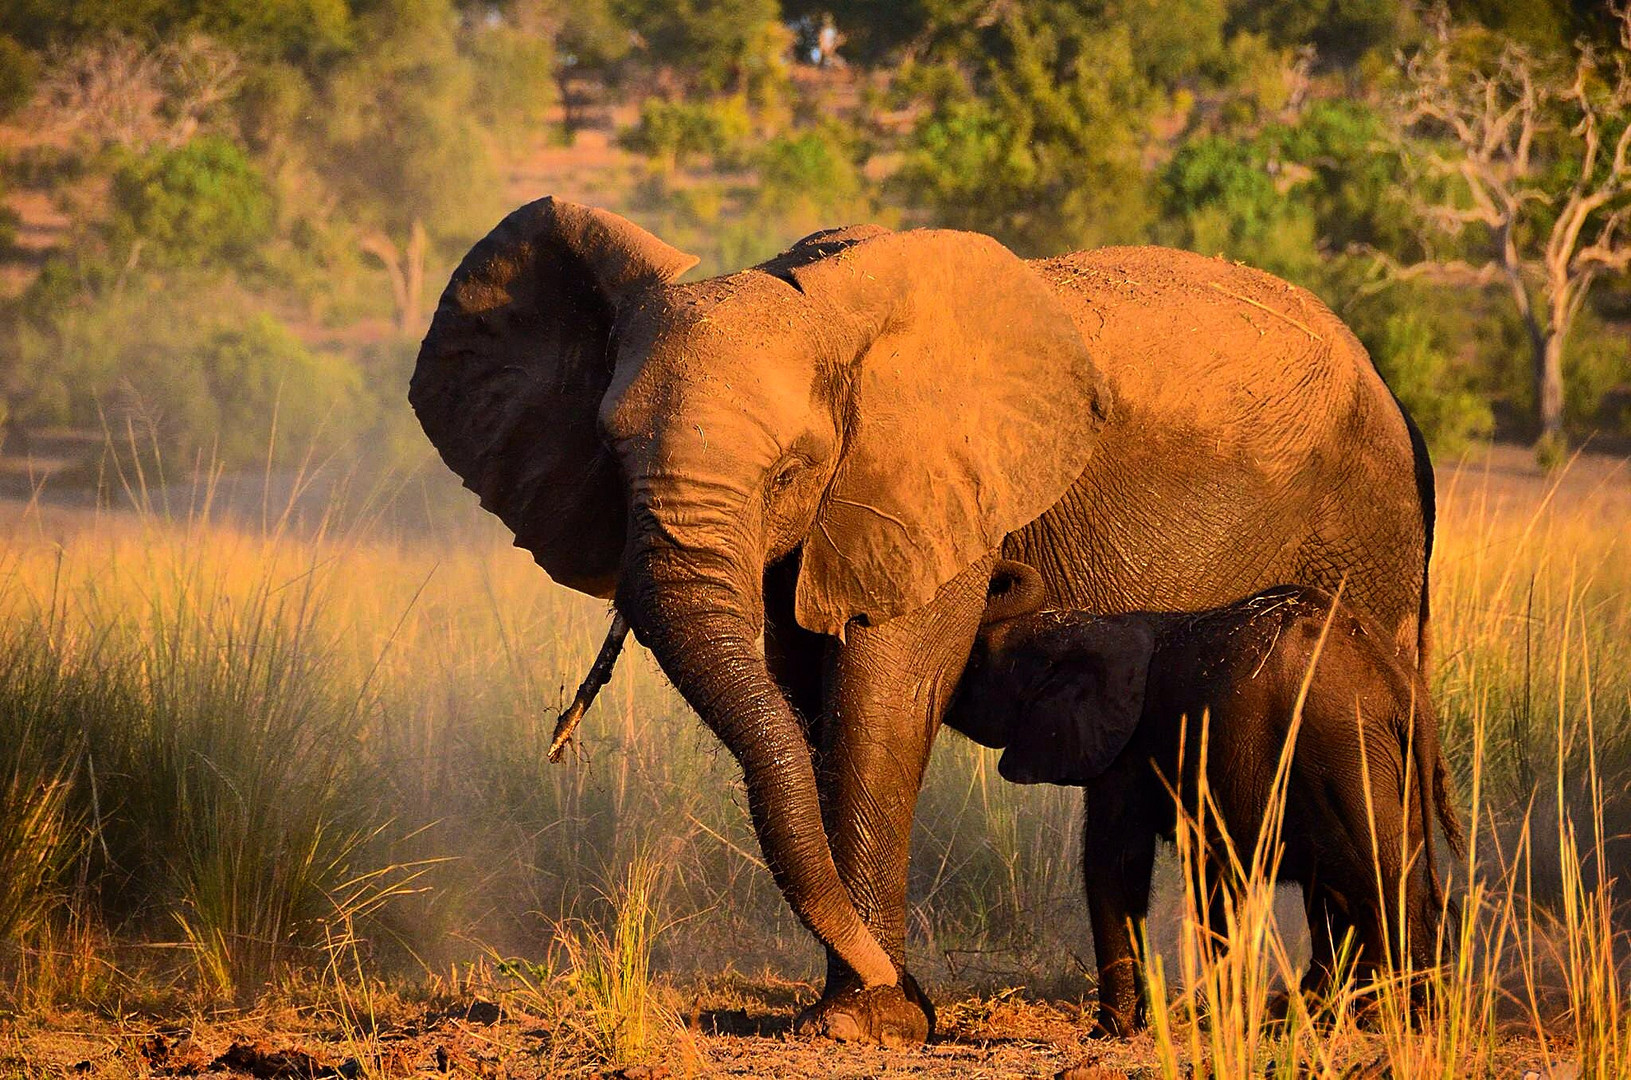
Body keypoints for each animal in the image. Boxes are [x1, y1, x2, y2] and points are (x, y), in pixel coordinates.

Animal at [952, 561, 1467, 1037]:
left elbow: (1115, 866)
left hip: (1343, 751)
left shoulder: (1127, 752)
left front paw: (1113, 1032)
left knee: (1375, 882)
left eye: (974, 663)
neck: (1079, 628)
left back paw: (1391, 1020)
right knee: (1368, 885)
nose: (998, 569)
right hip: (1382, 765)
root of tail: (1400, 684)